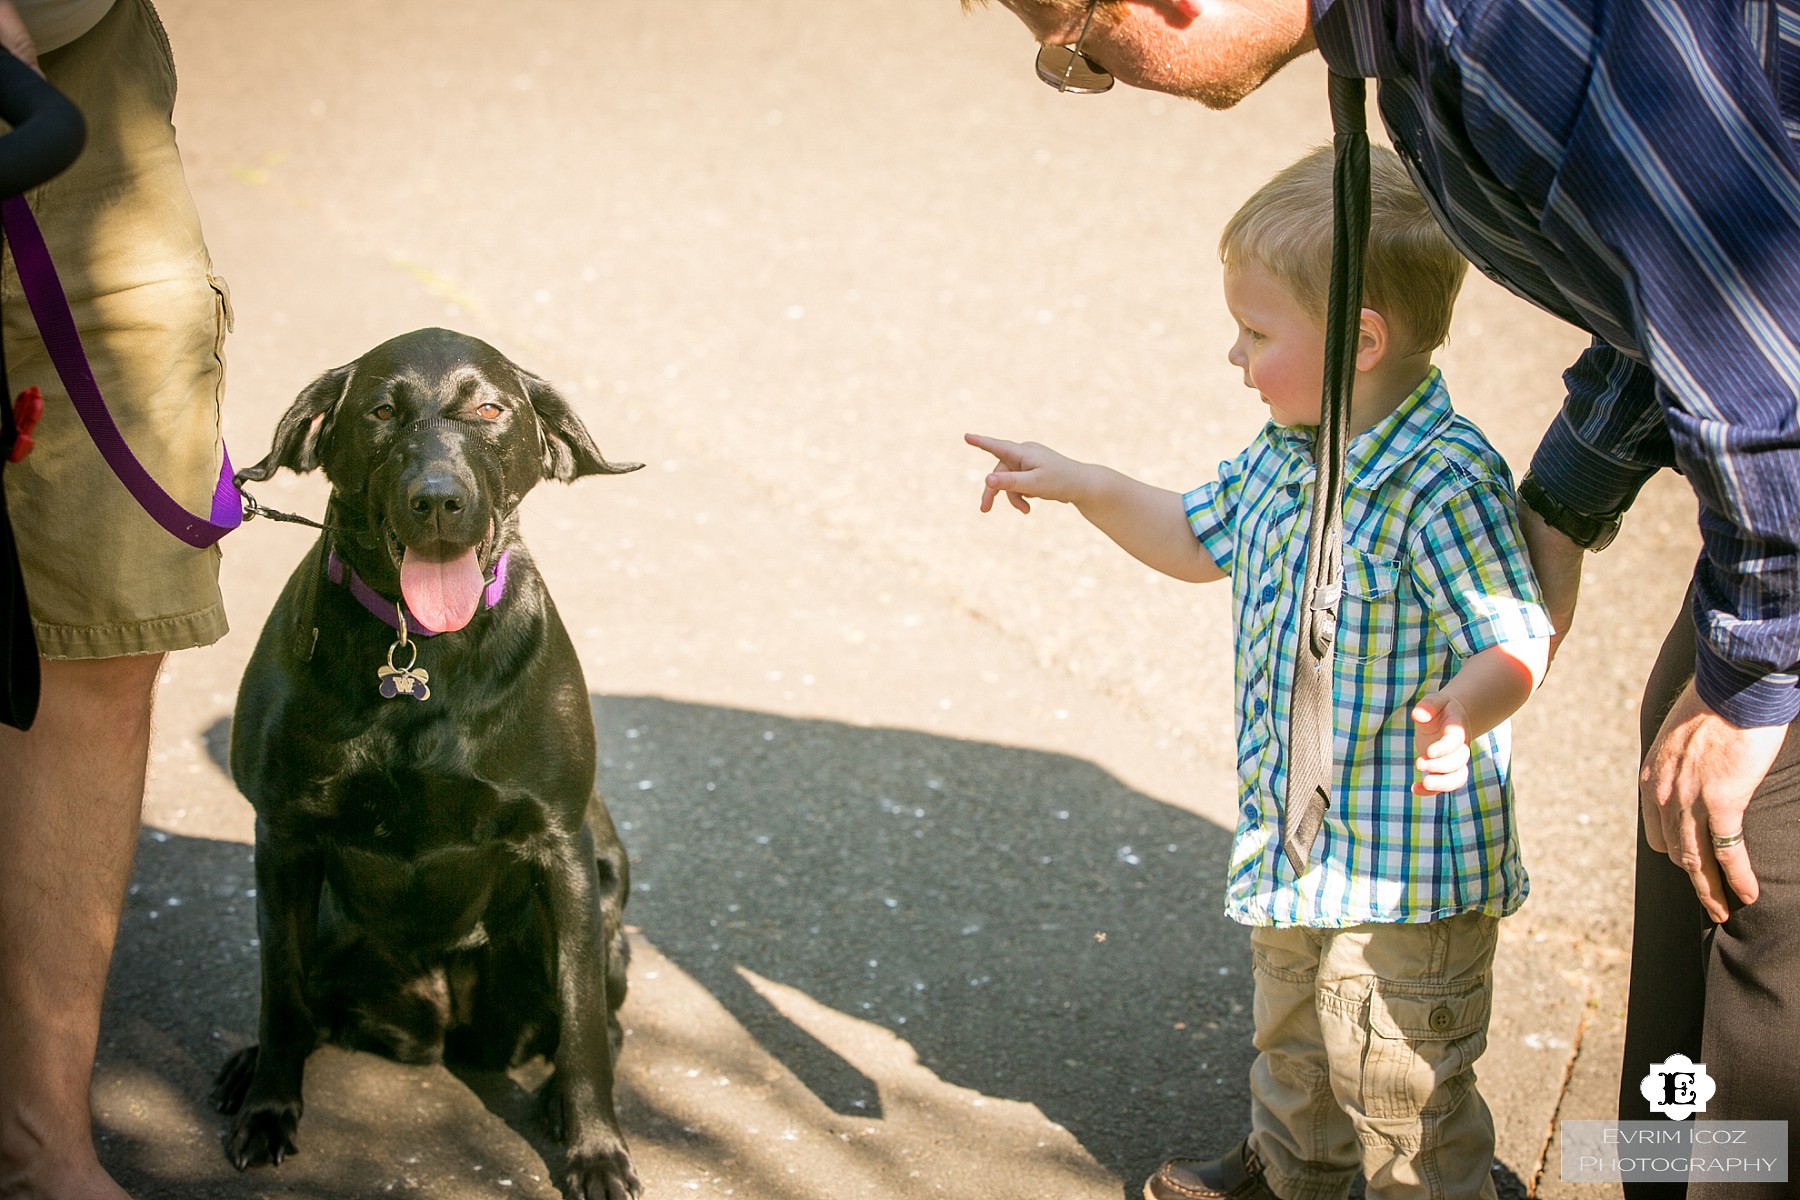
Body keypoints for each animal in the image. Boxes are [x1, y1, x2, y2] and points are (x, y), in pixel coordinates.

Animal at [213, 329, 644, 1200]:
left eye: (490, 411)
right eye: (381, 412)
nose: (438, 499)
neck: (423, 651)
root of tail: (446, 1038)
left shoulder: (564, 848)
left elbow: (583, 1024)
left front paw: (595, 1152)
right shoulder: (283, 838)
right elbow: (281, 992)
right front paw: (270, 1107)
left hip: (600, 898)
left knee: (601, 1019)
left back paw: (557, 1100)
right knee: (310, 1006)